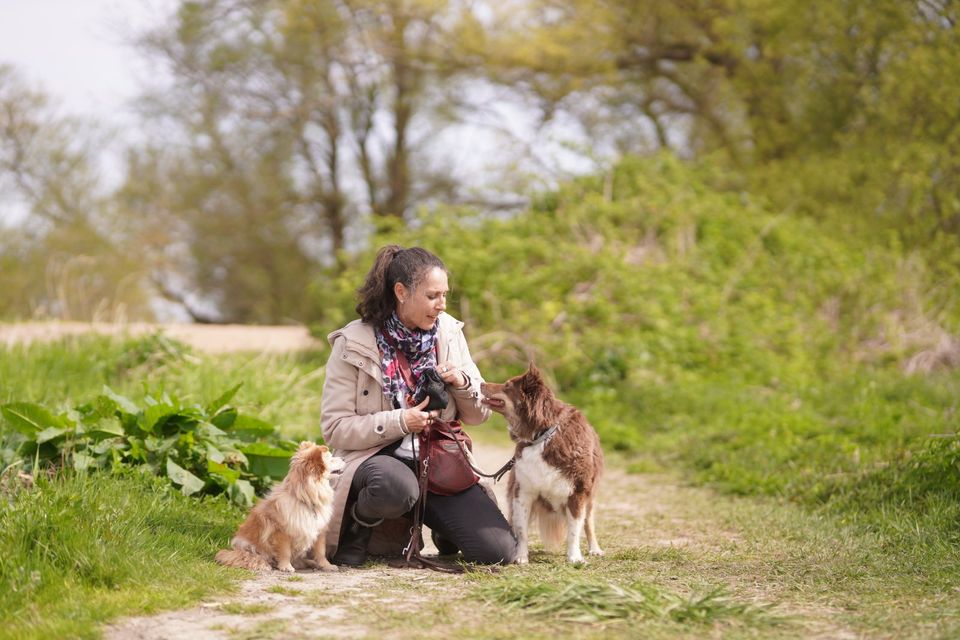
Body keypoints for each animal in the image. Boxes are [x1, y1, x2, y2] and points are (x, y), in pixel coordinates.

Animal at [216, 442, 344, 572]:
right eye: (331, 459)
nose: (343, 458)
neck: (305, 500)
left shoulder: (319, 531)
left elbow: (321, 552)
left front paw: (326, 565)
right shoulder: (281, 532)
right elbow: (285, 552)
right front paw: (286, 566)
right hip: (249, 547)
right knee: (252, 557)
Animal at [484, 364, 604, 564]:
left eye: (507, 385)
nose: (481, 383)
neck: (542, 435)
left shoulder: (578, 492)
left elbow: (574, 529)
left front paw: (574, 557)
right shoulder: (523, 490)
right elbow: (522, 530)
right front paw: (520, 556)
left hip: (591, 494)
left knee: (589, 521)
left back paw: (595, 549)